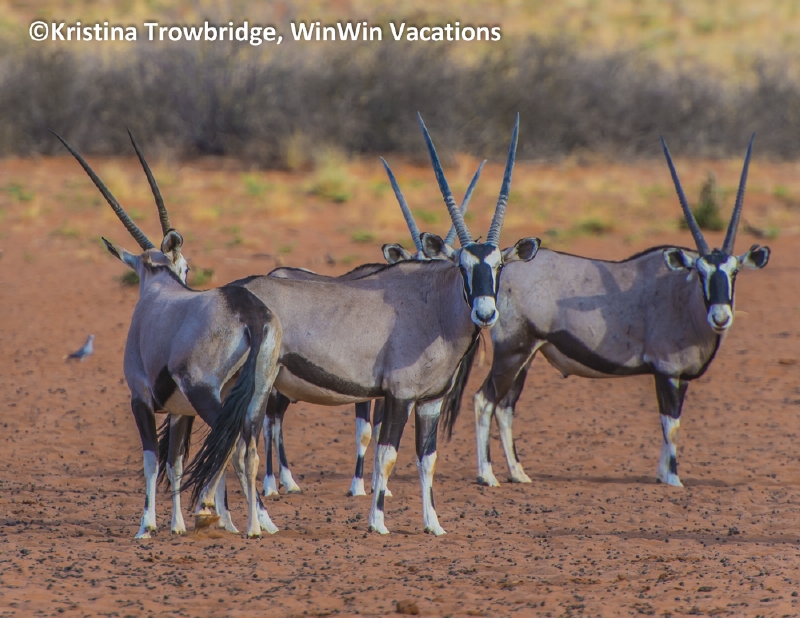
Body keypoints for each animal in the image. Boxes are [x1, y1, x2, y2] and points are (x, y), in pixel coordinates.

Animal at [55, 131, 283, 538]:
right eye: (186, 265)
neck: (160, 287)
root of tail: (251, 315)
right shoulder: (179, 412)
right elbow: (174, 462)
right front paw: (176, 525)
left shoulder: (141, 399)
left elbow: (150, 459)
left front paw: (147, 525)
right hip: (256, 395)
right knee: (249, 448)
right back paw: (254, 524)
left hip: (208, 393)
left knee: (233, 447)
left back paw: (239, 521)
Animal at [186, 114, 540, 535]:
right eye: (463, 266)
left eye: (499, 265)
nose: (485, 314)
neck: (432, 306)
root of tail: (231, 295)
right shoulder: (399, 396)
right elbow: (386, 456)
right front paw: (377, 521)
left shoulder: (430, 403)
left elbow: (427, 460)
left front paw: (433, 524)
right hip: (256, 387)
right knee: (242, 445)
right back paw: (260, 522)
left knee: (225, 442)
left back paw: (227, 518)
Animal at [471, 135, 769, 488]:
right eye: (700, 271)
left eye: (734, 272)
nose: (720, 317)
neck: (682, 297)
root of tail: (501, 269)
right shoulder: (666, 371)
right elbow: (671, 423)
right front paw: (672, 478)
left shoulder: (680, 377)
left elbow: (672, 422)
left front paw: (662, 474)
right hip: (511, 352)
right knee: (485, 400)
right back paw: (487, 475)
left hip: (526, 355)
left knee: (505, 406)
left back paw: (518, 473)